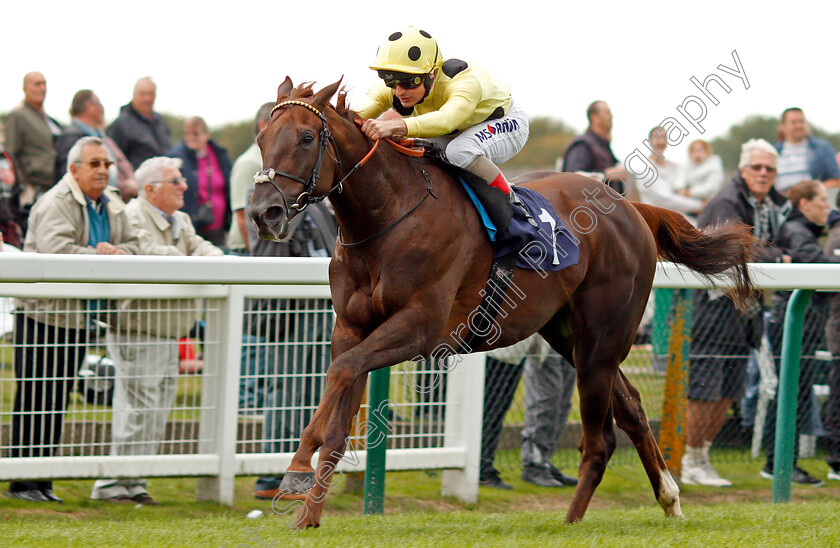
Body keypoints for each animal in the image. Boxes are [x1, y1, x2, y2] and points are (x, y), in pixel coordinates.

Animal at [248, 77, 756, 528]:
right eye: (261, 137)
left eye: (307, 137)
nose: (262, 212)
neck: (388, 218)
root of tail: (631, 205)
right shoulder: (351, 328)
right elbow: (340, 403)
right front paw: (308, 517)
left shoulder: (420, 328)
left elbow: (340, 372)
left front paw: (296, 468)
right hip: (568, 335)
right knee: (630, 406)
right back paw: (668, 499)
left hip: (601, 339)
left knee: (600, 441)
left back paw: (571, 522)